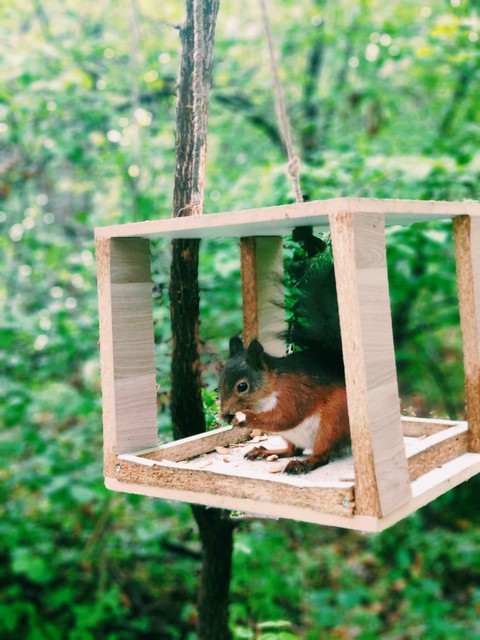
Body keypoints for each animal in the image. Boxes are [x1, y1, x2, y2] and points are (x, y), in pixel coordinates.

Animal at [218, 229, 350, 475]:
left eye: (242, 386)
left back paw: (304, 463)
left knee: (321, 454)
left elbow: (284, 417)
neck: (269, 388)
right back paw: (267, 451)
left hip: (332, 421)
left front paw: (245, 417)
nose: (224, 414)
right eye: (219, 381)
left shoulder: (293, 392)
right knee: (292, 449)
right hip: (292, 436)